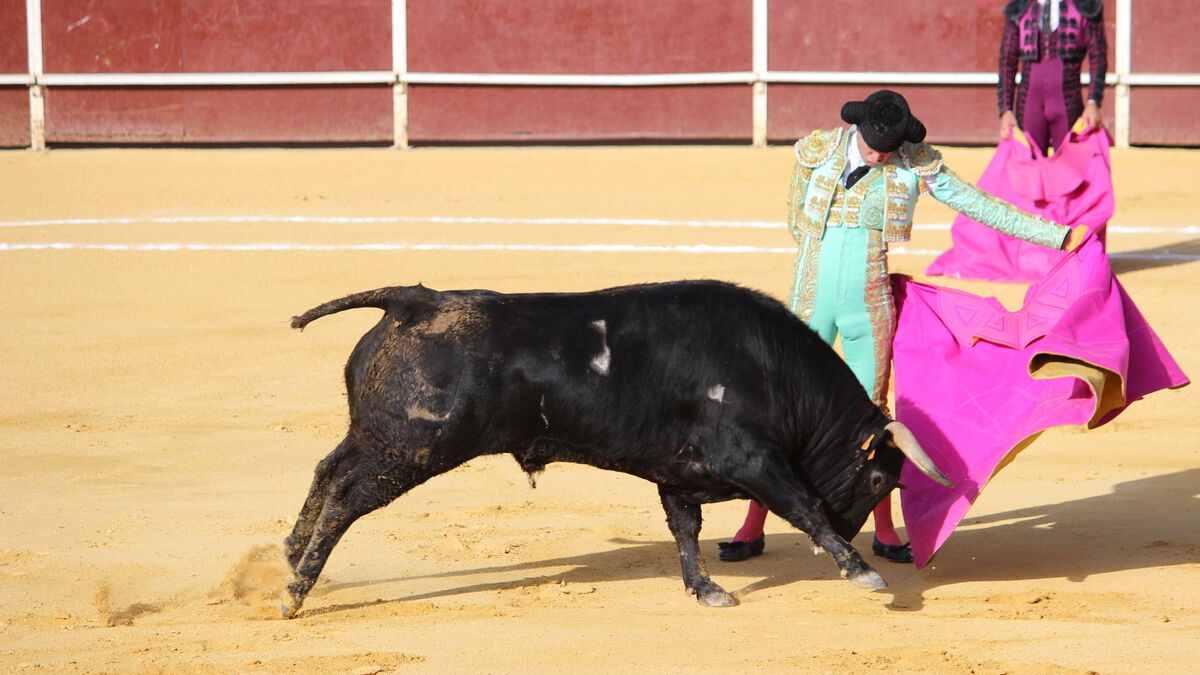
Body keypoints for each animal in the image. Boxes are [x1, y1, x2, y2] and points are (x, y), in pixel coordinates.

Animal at [278, 278, 945, 614]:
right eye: (881, 481)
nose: (857, 533)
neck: (772, 368)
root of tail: (415, 301)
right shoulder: (751, 458)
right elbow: (803, 507)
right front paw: (862, 572)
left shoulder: (679, 473)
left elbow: (685, 530)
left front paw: (706, 590)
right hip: (408, 450)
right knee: (343, 499)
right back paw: (293, 593)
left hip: (375, 437)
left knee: (325, 471)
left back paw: (287, 556)